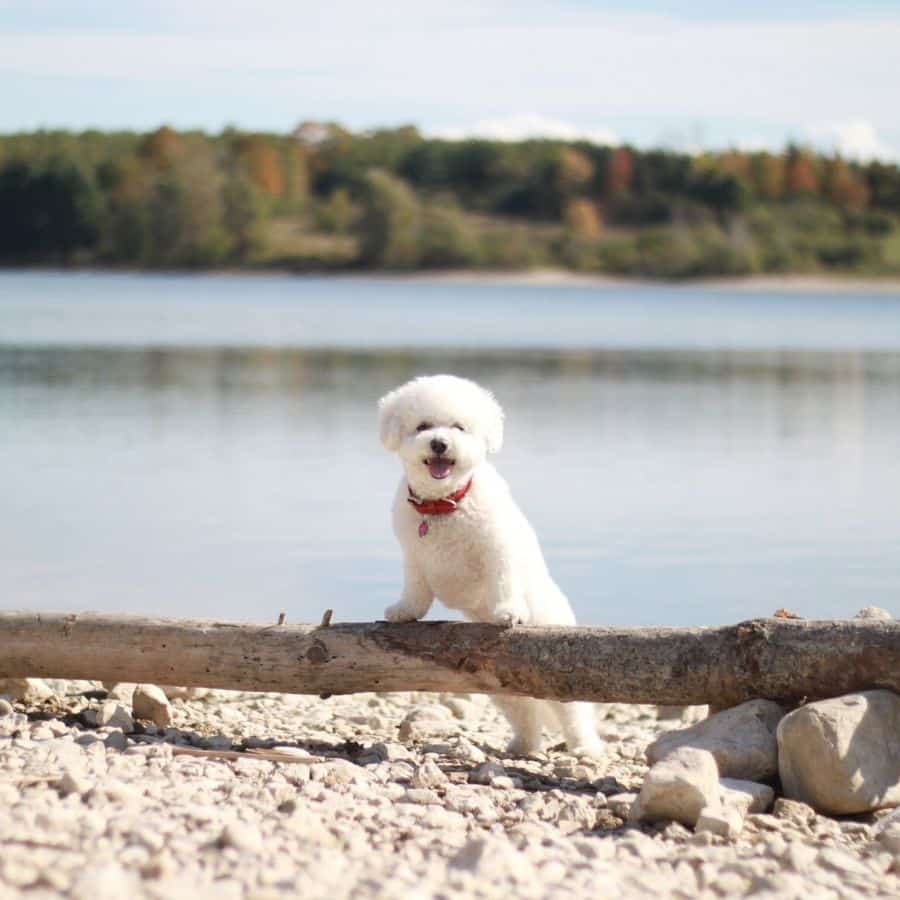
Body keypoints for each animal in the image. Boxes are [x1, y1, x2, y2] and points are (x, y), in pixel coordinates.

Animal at [376, 372, 600, 760]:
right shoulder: (414, 556)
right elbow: (415, 587)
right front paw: (406, 610)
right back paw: (524, 746)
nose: (439, 443)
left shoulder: (498, 549)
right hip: (497, 680)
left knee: (572, 712)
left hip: (558, 671)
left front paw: (509, 612)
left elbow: (504, 581)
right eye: (422, 426)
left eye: (458, 427)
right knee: (524, 711)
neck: (444, 504)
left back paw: (584, 747)